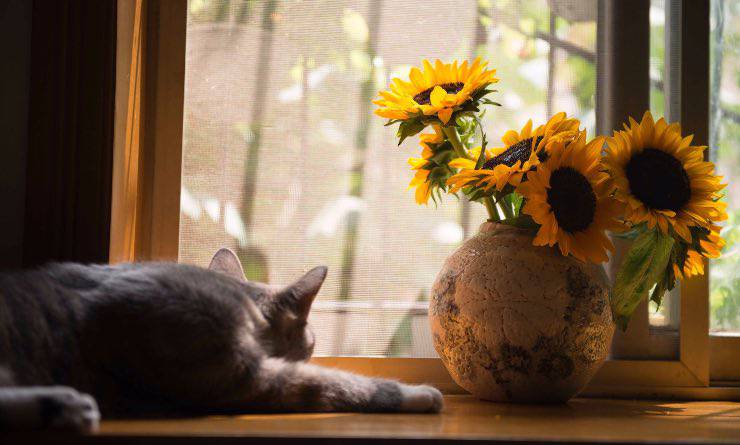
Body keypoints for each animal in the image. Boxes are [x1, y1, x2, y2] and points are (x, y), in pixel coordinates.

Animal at [0, 246, 440, 430]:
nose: (312, 349)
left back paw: (63, 406)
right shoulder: (241, 377)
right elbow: (337, 382)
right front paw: (420, 393)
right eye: (312, 343)